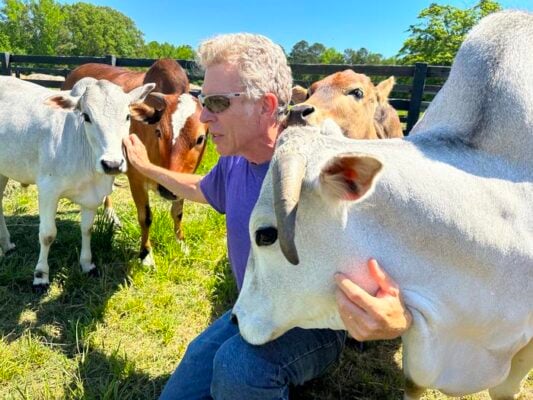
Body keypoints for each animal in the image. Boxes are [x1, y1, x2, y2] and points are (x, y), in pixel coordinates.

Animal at [0, 77, 156, 290]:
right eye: (86, 116)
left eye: (127, 116)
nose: (112, 164)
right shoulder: (48, 190)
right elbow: (47, 234)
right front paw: (41, 275)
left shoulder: (93, 196)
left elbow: (87, 229)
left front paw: (87, 264)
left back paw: (6, 244)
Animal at [62, 59, 208, 266]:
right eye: (158, 132)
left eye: (200, 138)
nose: (166, 190)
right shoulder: (136, 178)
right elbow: (145, 217)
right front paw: (146, 254)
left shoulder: (183, 180)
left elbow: (177, 212)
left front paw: (181, 243)